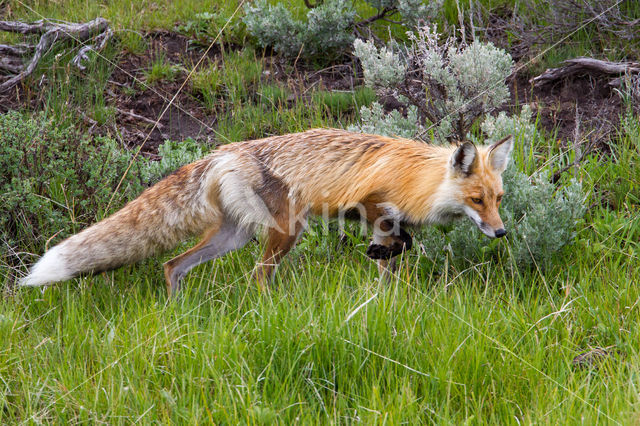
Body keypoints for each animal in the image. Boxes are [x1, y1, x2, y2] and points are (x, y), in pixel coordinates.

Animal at [17, 128, 512, 294]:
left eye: (499, 199)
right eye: (477, 201)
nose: (501, 233)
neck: (421, 181)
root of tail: (221, 152)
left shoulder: (385, 226)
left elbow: (391, 264)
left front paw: (386, 303)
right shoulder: (371, 202)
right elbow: (397, 240)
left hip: (234, 236)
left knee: (173, 265)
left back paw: (177, 312)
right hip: (285, 232)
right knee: (258, 276)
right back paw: (271, 310)